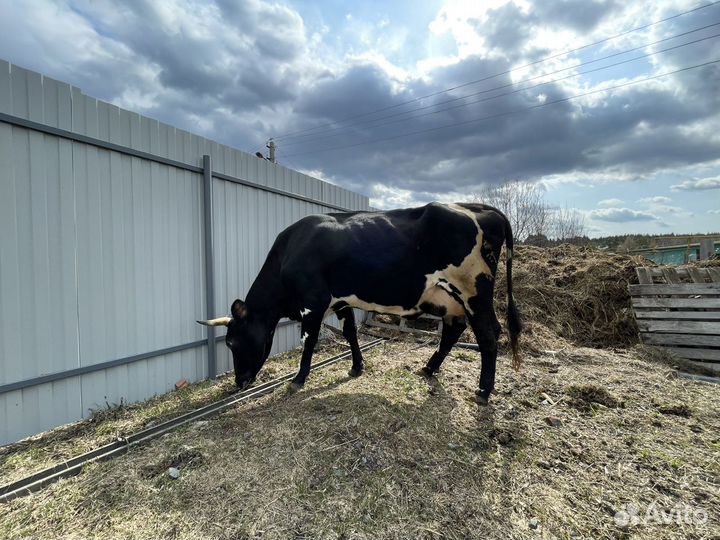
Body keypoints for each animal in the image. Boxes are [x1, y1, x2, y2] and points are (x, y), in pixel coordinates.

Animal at [197, 202, 521, 404]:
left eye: (232, 343)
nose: (239, 382)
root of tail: (480, 207)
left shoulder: (312, 302)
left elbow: (308, 340)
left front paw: (298, 379)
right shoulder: (341, 301)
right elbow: (351, 333)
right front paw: (356, 367)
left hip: (473, 291)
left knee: (488, 334)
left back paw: (483, 391)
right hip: (449, 299)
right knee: (454, 330)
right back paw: (429, 369)